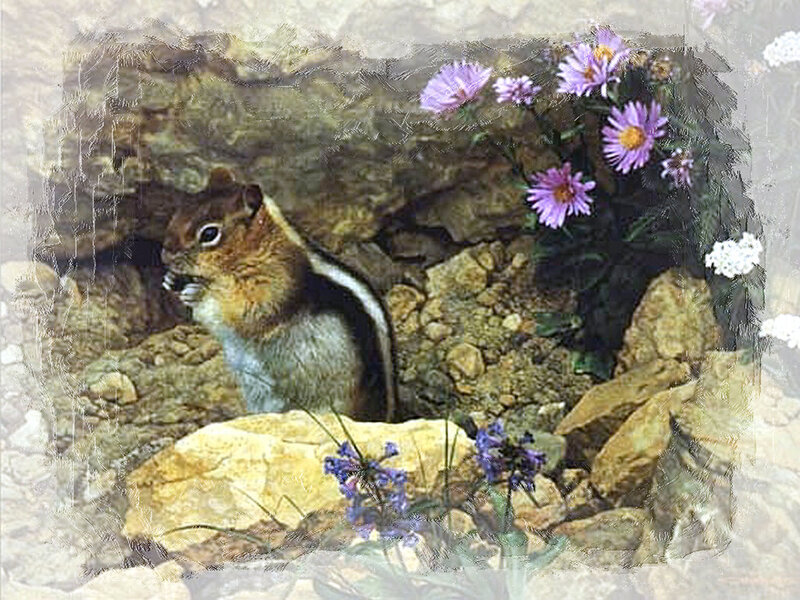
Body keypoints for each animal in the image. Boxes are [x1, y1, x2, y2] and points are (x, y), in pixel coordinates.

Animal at [161, 168, 396, 421]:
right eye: (178, 212)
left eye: (209, 233)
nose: (165, 255)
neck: (261, 248)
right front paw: (171, 280)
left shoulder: (272, 288)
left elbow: (243, 311)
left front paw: (198, 293)